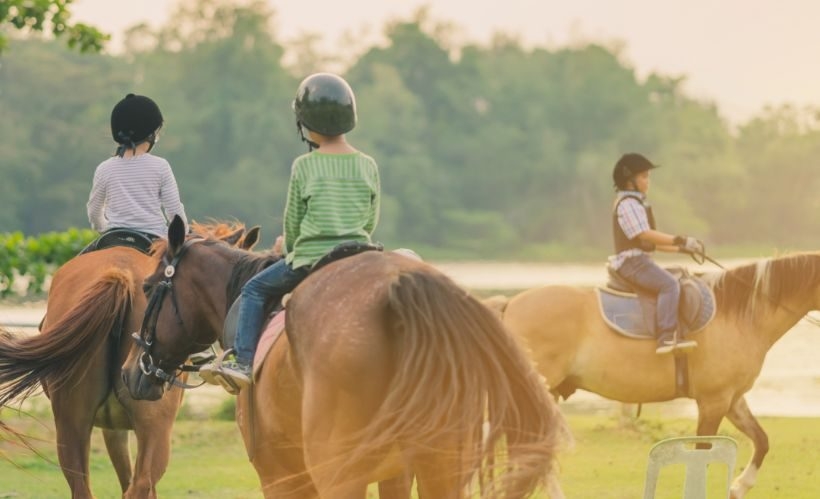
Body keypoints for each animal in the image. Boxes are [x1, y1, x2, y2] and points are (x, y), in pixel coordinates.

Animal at [0, 224, 258, 499]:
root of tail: (120, 274)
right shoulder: (119, 429)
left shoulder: (113, 429)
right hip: (154, 426)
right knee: (141, 483)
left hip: (72, 423)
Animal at [121, 218, 568, 499]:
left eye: (149, 287)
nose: (130, 372)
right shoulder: (396, 474)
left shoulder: (280, 475)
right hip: (445, 467)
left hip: (338, 472)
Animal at [484, 254, 820, 499]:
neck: (740, 315)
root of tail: (510, 304)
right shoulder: (713, 401)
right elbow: (701, 453)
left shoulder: (732, 399)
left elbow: (762, 441)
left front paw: (739, 487)